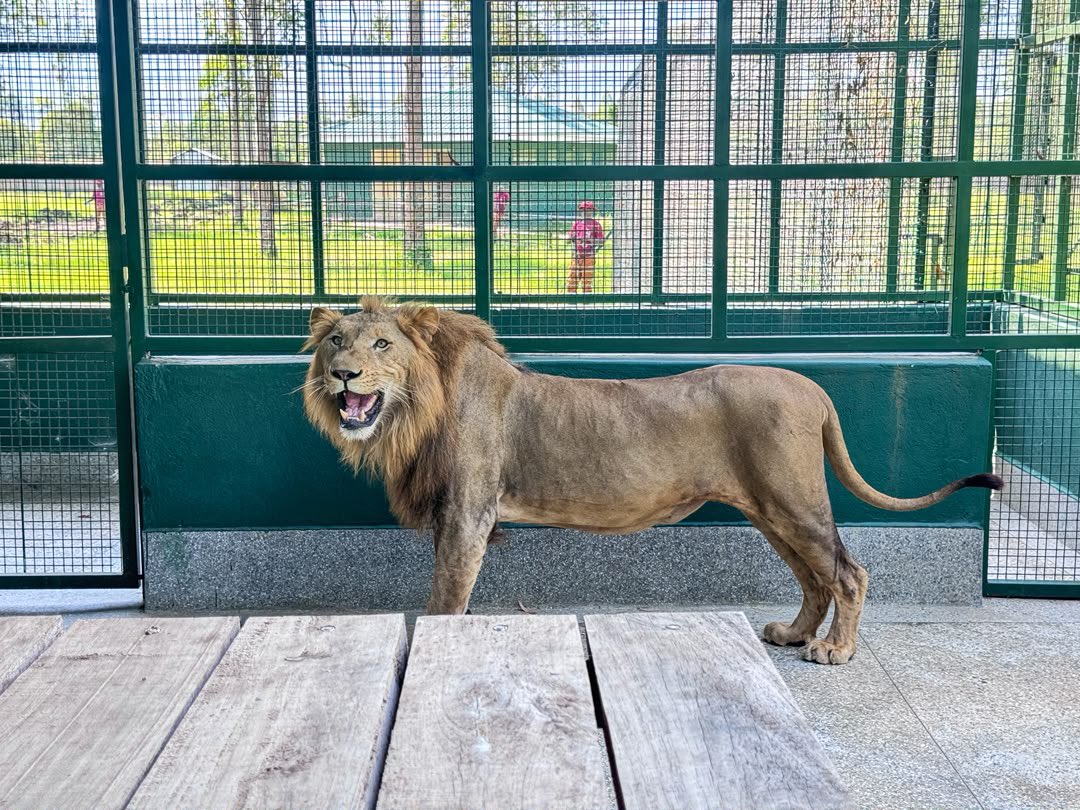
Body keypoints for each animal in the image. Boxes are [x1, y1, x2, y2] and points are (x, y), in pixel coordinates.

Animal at [302, 298, 1001, 665]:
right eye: (335, 340)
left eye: (382, 345)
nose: (342, 374)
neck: (416, 410)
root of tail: (811, 386)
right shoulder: (457, 518)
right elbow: (454, 597)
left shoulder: (467, 515)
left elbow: (445, 601)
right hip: (769, 508)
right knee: (814, 578)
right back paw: (793, 633)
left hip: (792, 499)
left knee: (847, 572)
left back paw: (833, 651)